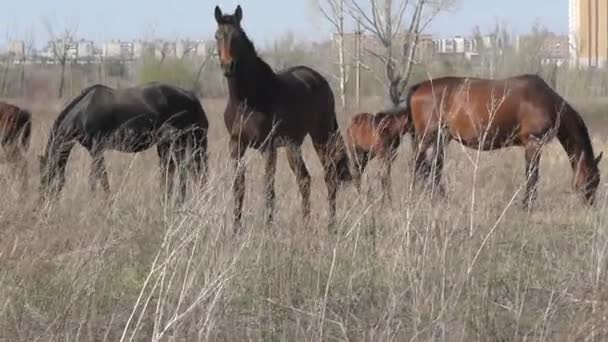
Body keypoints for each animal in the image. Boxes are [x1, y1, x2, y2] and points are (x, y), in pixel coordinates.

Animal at [38, 81, 209, 202]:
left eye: (46, 177)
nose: (42, 201)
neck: (82, 112)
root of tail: (192, 97)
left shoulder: (96, 149)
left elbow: (98, 178)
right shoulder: (95, 151)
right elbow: (99, 177)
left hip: (180, 141)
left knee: (185, 169)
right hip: (169, 144)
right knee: (176, 170)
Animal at [215, 5, 352, 231]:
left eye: (238, 36)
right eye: (217, 36)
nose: (228, 66)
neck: (247, 100)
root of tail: (319, 80)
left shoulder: (268, 148)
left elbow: (268, 189)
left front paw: (268, 229)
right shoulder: (236, 145)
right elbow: (238, 187)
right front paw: (236, 230)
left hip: (321, 137)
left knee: (330, 177)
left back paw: (331, 226)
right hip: (292, 144)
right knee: (304, 179)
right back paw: (306, 225)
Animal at [406, 74, 600, 207]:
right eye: (593, 179)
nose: (590, 205)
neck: (546, 101)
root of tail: (419, 87)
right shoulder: (533, 143)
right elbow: (532, 175)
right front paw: (528, 205)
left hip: (442, 137)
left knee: (434, 166)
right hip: (426, 136)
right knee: (417, 164)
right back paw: (414, 196)